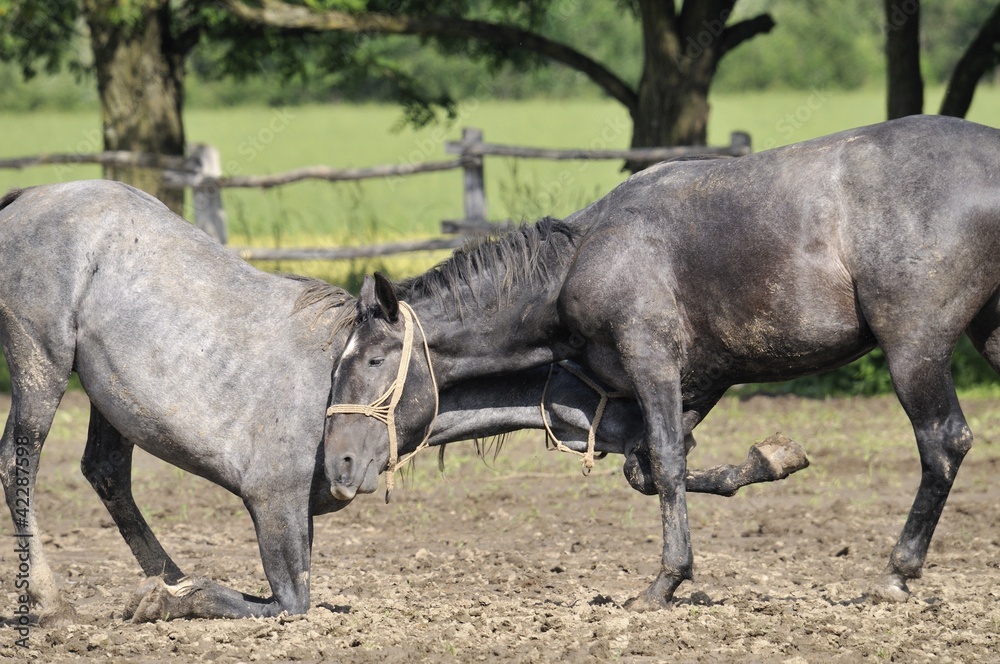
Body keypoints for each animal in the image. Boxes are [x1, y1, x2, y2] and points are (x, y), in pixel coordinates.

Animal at [0, 180, 806, 624]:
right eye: (366, 360)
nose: (679, 427)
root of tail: (27, 198)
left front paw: (773, 457)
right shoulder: (273, 505)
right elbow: (284, 602)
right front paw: (177, 600)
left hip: (104, 398)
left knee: (105, 472)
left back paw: (159, 575)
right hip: (42, 366)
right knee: (20, 462)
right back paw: (53, 599)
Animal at [322, 115, 1000, 610]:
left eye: (376, 359)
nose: (339, 464)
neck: (581, 260)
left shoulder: (653, 362)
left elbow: (668, 465)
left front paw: (665, 582)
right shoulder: (700, 383)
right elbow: (652, 470)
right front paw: (771, 460)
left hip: (913, 347)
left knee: (943, 442)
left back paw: (896, 572)